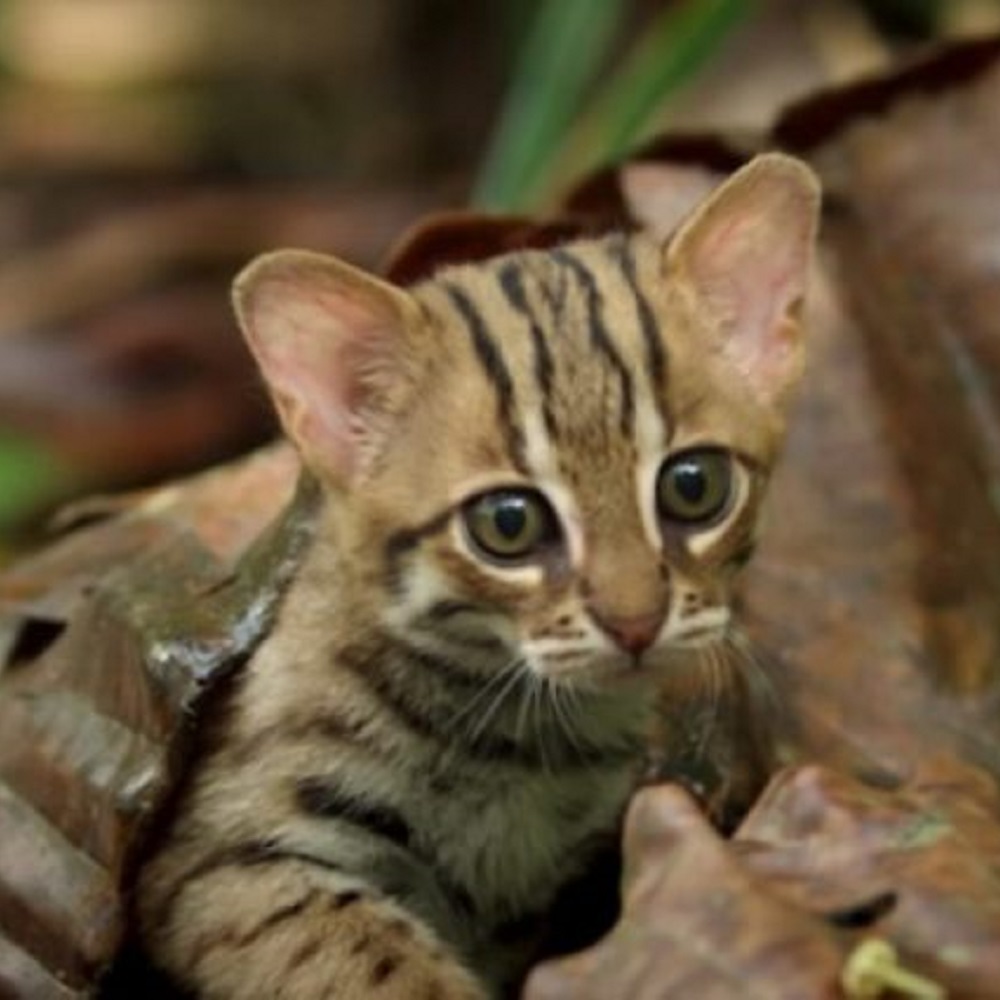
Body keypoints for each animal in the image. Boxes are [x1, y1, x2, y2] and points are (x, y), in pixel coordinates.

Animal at [135, 154, 820, 1000]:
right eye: (508, 523)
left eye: (695, 485)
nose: (635, 623)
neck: (520, 740)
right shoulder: (218, 864)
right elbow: (379, 963)